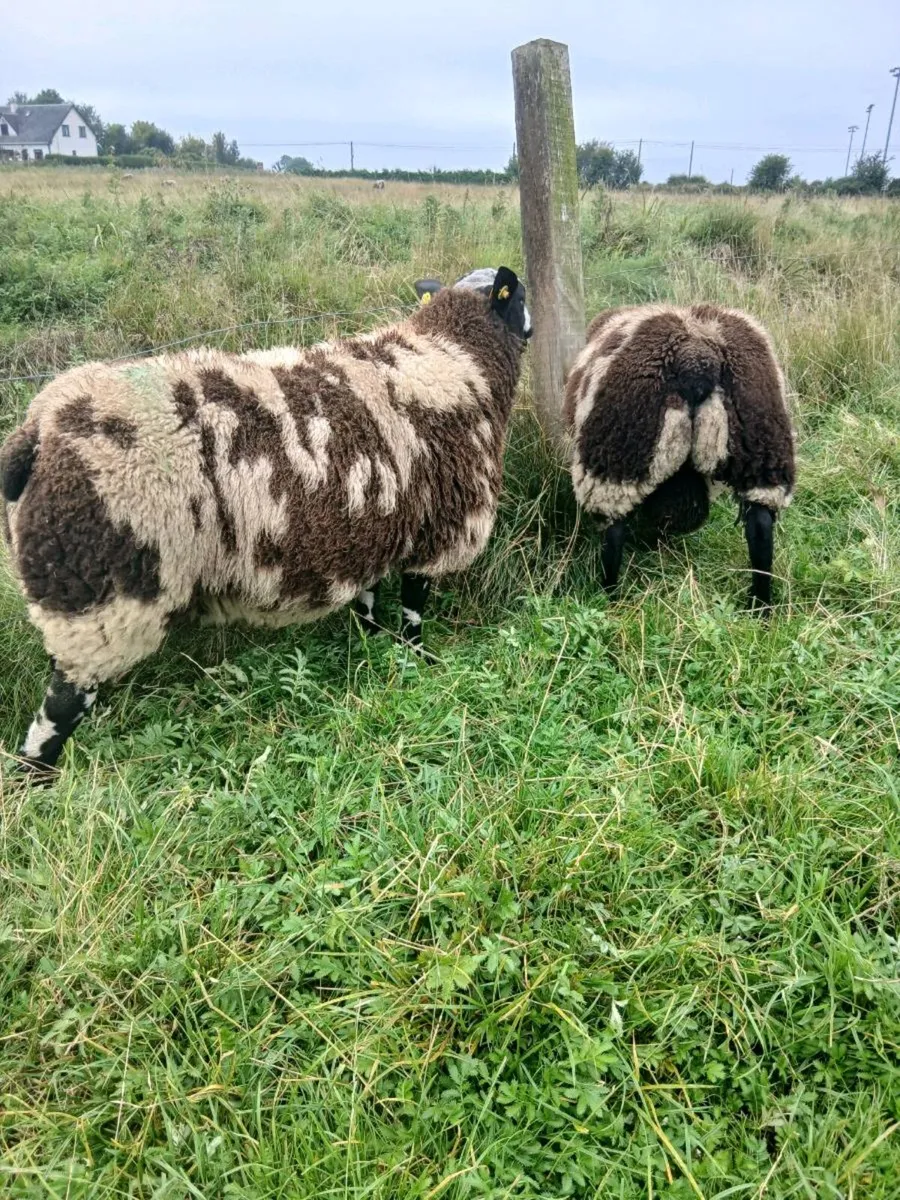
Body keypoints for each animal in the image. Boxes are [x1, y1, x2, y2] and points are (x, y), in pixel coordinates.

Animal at [1, 267, 532, 775]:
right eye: (520, 295)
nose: (532, 325)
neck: (456, 357)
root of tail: (37, 431)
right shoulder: (443, 526)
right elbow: (414, 609)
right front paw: (420, 660)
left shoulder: (374, 524)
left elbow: (369, 601)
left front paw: (371, 644)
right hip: (102, 596)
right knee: (59, 709)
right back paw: (38, 777)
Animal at [564, 303, 796, 607]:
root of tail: (696, 356)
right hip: (762, 448)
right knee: (761, 524)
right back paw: (760, 605)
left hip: (615, 455)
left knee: (613, 533)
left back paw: (610, 597)